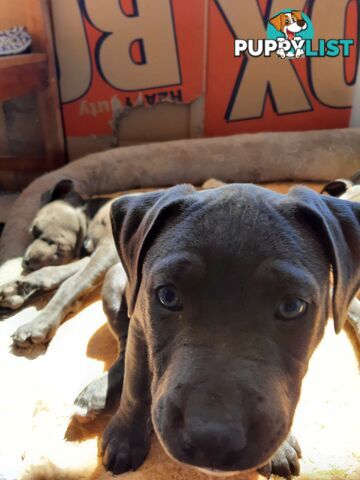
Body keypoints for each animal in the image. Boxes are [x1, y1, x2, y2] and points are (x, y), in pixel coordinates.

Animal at [88, 183, 360, 476]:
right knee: (123, 349)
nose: (213, 438)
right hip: (114, 286)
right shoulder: (140, 323)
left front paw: (281, 447)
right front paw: (125, 438)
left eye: (292, 306)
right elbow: (135, 381)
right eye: (168, 296)